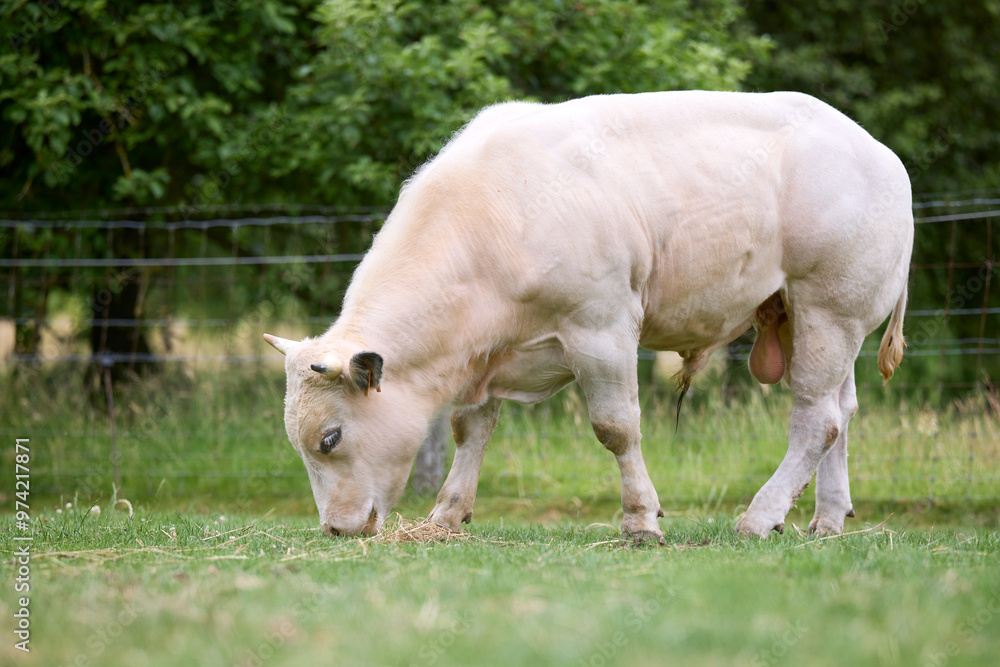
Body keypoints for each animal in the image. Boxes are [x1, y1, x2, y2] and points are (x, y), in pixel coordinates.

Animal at [262, 91, 912, 540]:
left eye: (329, 438)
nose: (335, 529)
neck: (490, 223)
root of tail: (880, 153)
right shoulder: (488, 350)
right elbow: (471, 428)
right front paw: (447, 514)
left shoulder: (602, 325)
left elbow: (616, 427)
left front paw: (640, 521)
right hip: (816, 320)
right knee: (842, 412)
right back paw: (827, 521)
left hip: (830, 306)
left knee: (816, 419)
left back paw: (759, 517)